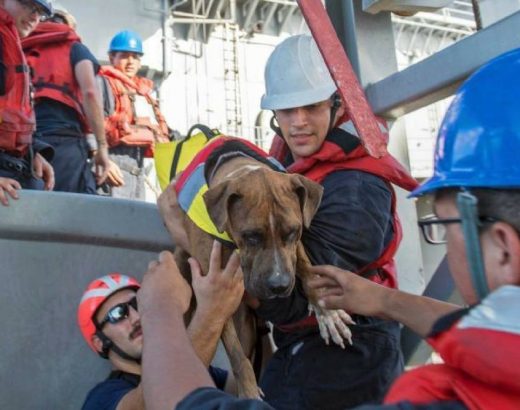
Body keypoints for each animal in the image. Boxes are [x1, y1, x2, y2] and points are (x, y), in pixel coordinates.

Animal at [158, 147, 354, 398]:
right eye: (251, 236)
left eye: (293, 232)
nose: (279, 286)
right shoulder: (214, 294)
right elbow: (237, 355)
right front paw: (249, 391)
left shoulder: (295, 247)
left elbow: (308, 270)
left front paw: (327, 313)